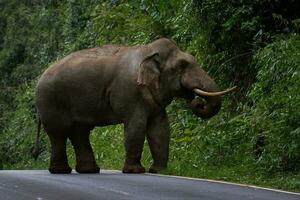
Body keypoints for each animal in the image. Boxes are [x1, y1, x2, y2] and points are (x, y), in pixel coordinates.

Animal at [31, 38, 236, 174]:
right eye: (182, 65)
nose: (196, 100)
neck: (148, 52)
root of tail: (39, 77)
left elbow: (160, 129)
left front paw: (159, 171)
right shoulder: (129, 92)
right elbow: (136, 127)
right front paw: (135, 171)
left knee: (79, 133)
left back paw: (90, 171)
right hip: (50, 100)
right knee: (59, 133)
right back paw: (61, 171)